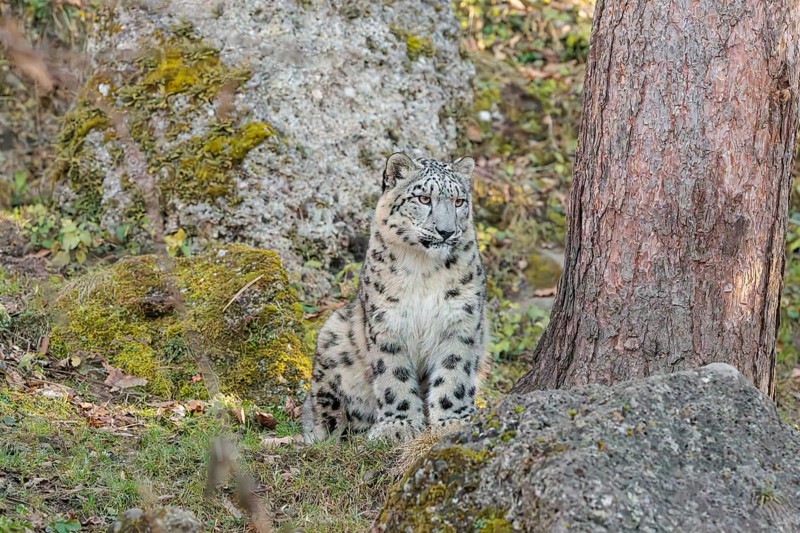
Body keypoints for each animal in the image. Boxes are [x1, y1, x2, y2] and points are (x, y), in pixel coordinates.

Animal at [302, 152, 489, 443]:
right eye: (423, 198)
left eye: (459, 201)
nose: (446, 231)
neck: (425, 270)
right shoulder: (388, 322)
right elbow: (393, 375)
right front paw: (397, 426)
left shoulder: (460, 320)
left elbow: (454, 372)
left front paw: (452, 420)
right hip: (333, 335)